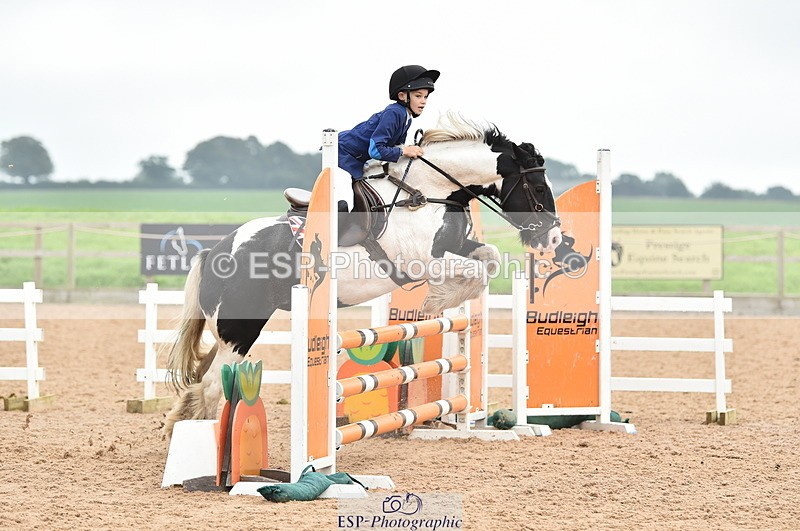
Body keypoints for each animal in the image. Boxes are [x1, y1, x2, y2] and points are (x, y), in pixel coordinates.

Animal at [163, 113, 562, 438]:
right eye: (539, 187)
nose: (554, 238)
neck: (428, 193)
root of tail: (215, 252)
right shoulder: (420, 262)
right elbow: (474, 270)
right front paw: (437, 300)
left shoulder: (456, 246)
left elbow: (488, 258)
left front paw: (444, 300)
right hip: (240, 328)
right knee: (212, 385)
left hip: (230, 330)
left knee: (202, 378)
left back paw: (178, 429)